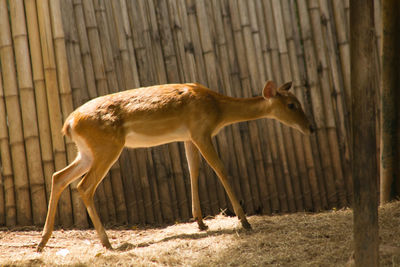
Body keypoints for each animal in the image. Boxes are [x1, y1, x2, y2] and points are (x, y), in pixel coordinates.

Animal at [36, 80, 314, 252]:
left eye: (299, 101)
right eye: (291, 105)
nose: (310, 128)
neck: (218, 109)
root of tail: (69, 124)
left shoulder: (188, 137)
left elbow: (193, 169)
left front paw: (201, 222)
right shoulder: (201, 130)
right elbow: (220, 168)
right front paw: (244, 221)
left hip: (86, 152)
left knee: (59, 176)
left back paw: (42, 243)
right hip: (107, 147)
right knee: (83, 186)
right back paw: (107, 242)